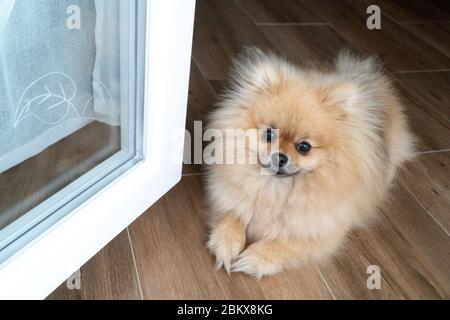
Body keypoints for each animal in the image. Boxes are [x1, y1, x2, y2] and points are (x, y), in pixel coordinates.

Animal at [206, 47, 416, 278]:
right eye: (269, 134)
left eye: (304, 147)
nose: (280, 157)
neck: (276, 191)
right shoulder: (230, 200)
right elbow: (231, 217)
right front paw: (226, 243)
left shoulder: (322, 233)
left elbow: (285, 244)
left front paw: (256, 258)